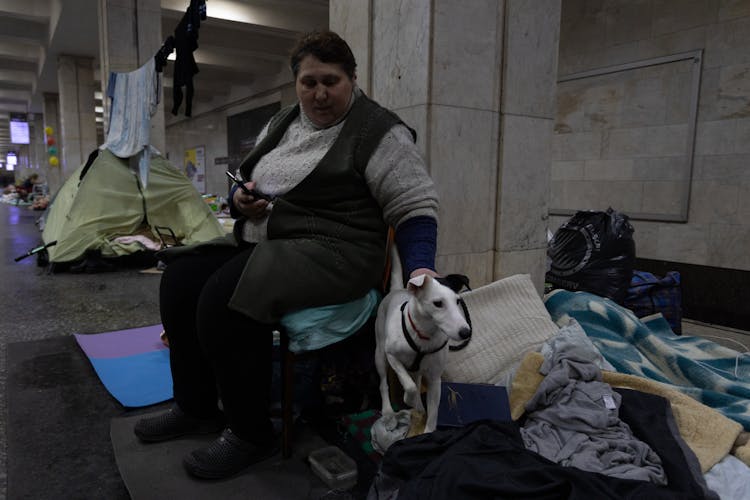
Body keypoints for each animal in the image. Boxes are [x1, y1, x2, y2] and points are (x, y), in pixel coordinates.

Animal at [374, 247, 472, 434]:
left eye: (458, 301)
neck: (424, 335)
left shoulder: (434, 379)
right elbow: (409, 386)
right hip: (380, 354)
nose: (466, 332)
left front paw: (427, 428)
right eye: (438, 303)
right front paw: (409, 399)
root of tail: (396, 290)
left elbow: (432, 413)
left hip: (417, 370)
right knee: (383, 384)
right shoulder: (392, 356)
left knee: (416, 381)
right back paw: (389, 412)